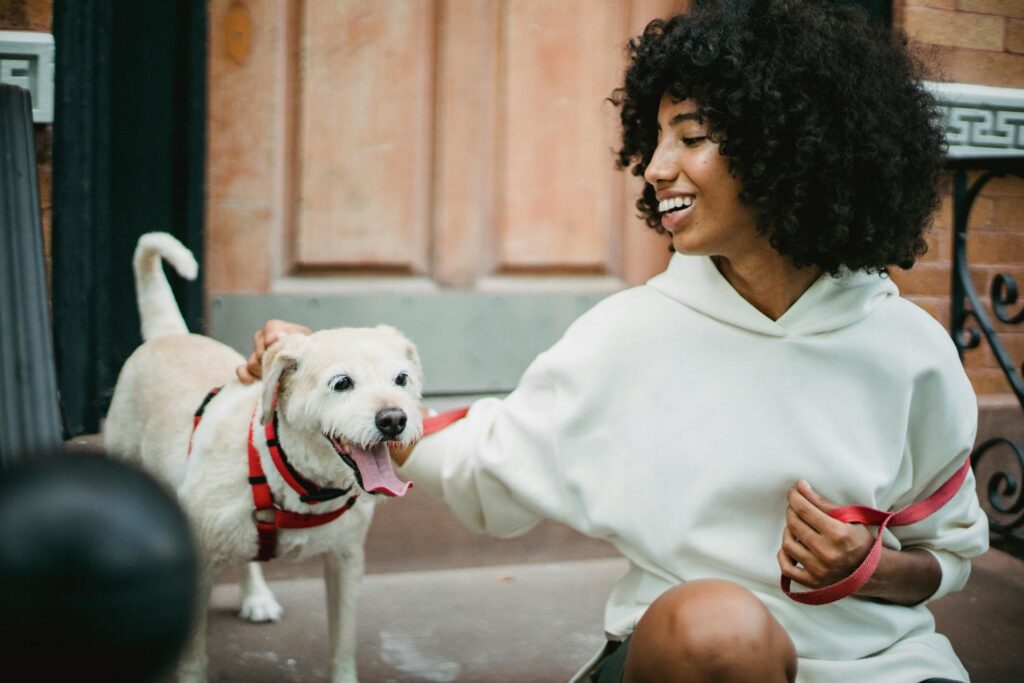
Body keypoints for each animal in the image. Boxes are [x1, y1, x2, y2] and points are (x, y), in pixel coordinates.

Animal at [103, 232, 423, 679]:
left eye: (401, 379)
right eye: (342, 383)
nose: (394, 419)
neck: (295, 481)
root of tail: (168, 334)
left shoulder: (345, 563)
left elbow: (342, 646)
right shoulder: (199, 560)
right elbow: (192, 658)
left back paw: (256, 596)